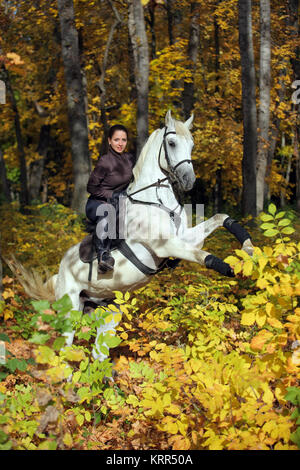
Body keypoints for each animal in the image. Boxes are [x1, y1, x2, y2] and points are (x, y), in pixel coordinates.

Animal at [13, 110, 253, 360]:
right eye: (172, 142)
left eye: (192, 144)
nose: (189, 180)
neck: (156, 199)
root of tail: (59, 271)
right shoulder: (166, 245)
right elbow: (204, 256)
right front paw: (232, 268)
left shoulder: (186, 237)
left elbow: (220, 218)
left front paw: (247, 248)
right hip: (70, 309)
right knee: (64, 351)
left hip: (108, 311)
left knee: (99, 354)